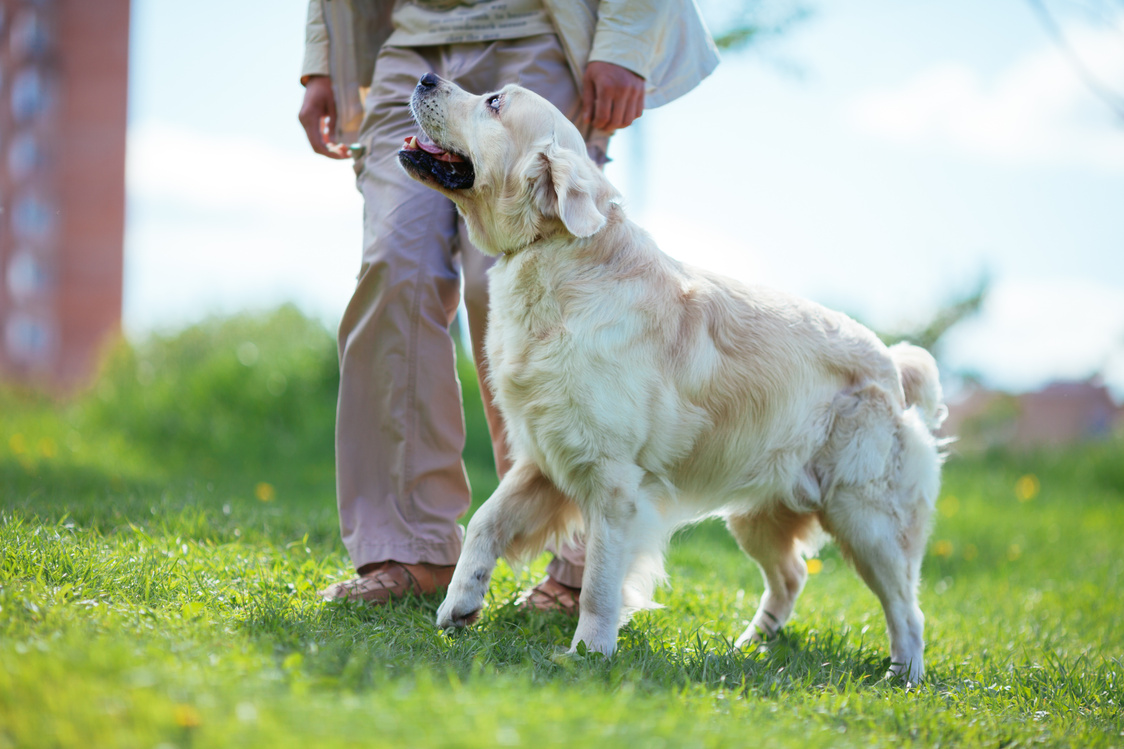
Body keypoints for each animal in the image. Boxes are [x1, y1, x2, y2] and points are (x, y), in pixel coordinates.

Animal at [400, 73, 944, 679]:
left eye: (494, 103)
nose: (425, 77)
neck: (556, 254)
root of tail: (893, 365)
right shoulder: (545, 458)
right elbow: (484, 523)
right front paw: (459, 604)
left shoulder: (614, 482)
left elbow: (598, 581)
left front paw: (589, 653)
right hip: (760, 514)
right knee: (792, 577)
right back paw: (747, 646)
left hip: (867, 519)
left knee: (908, 610)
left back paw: (904, 677)